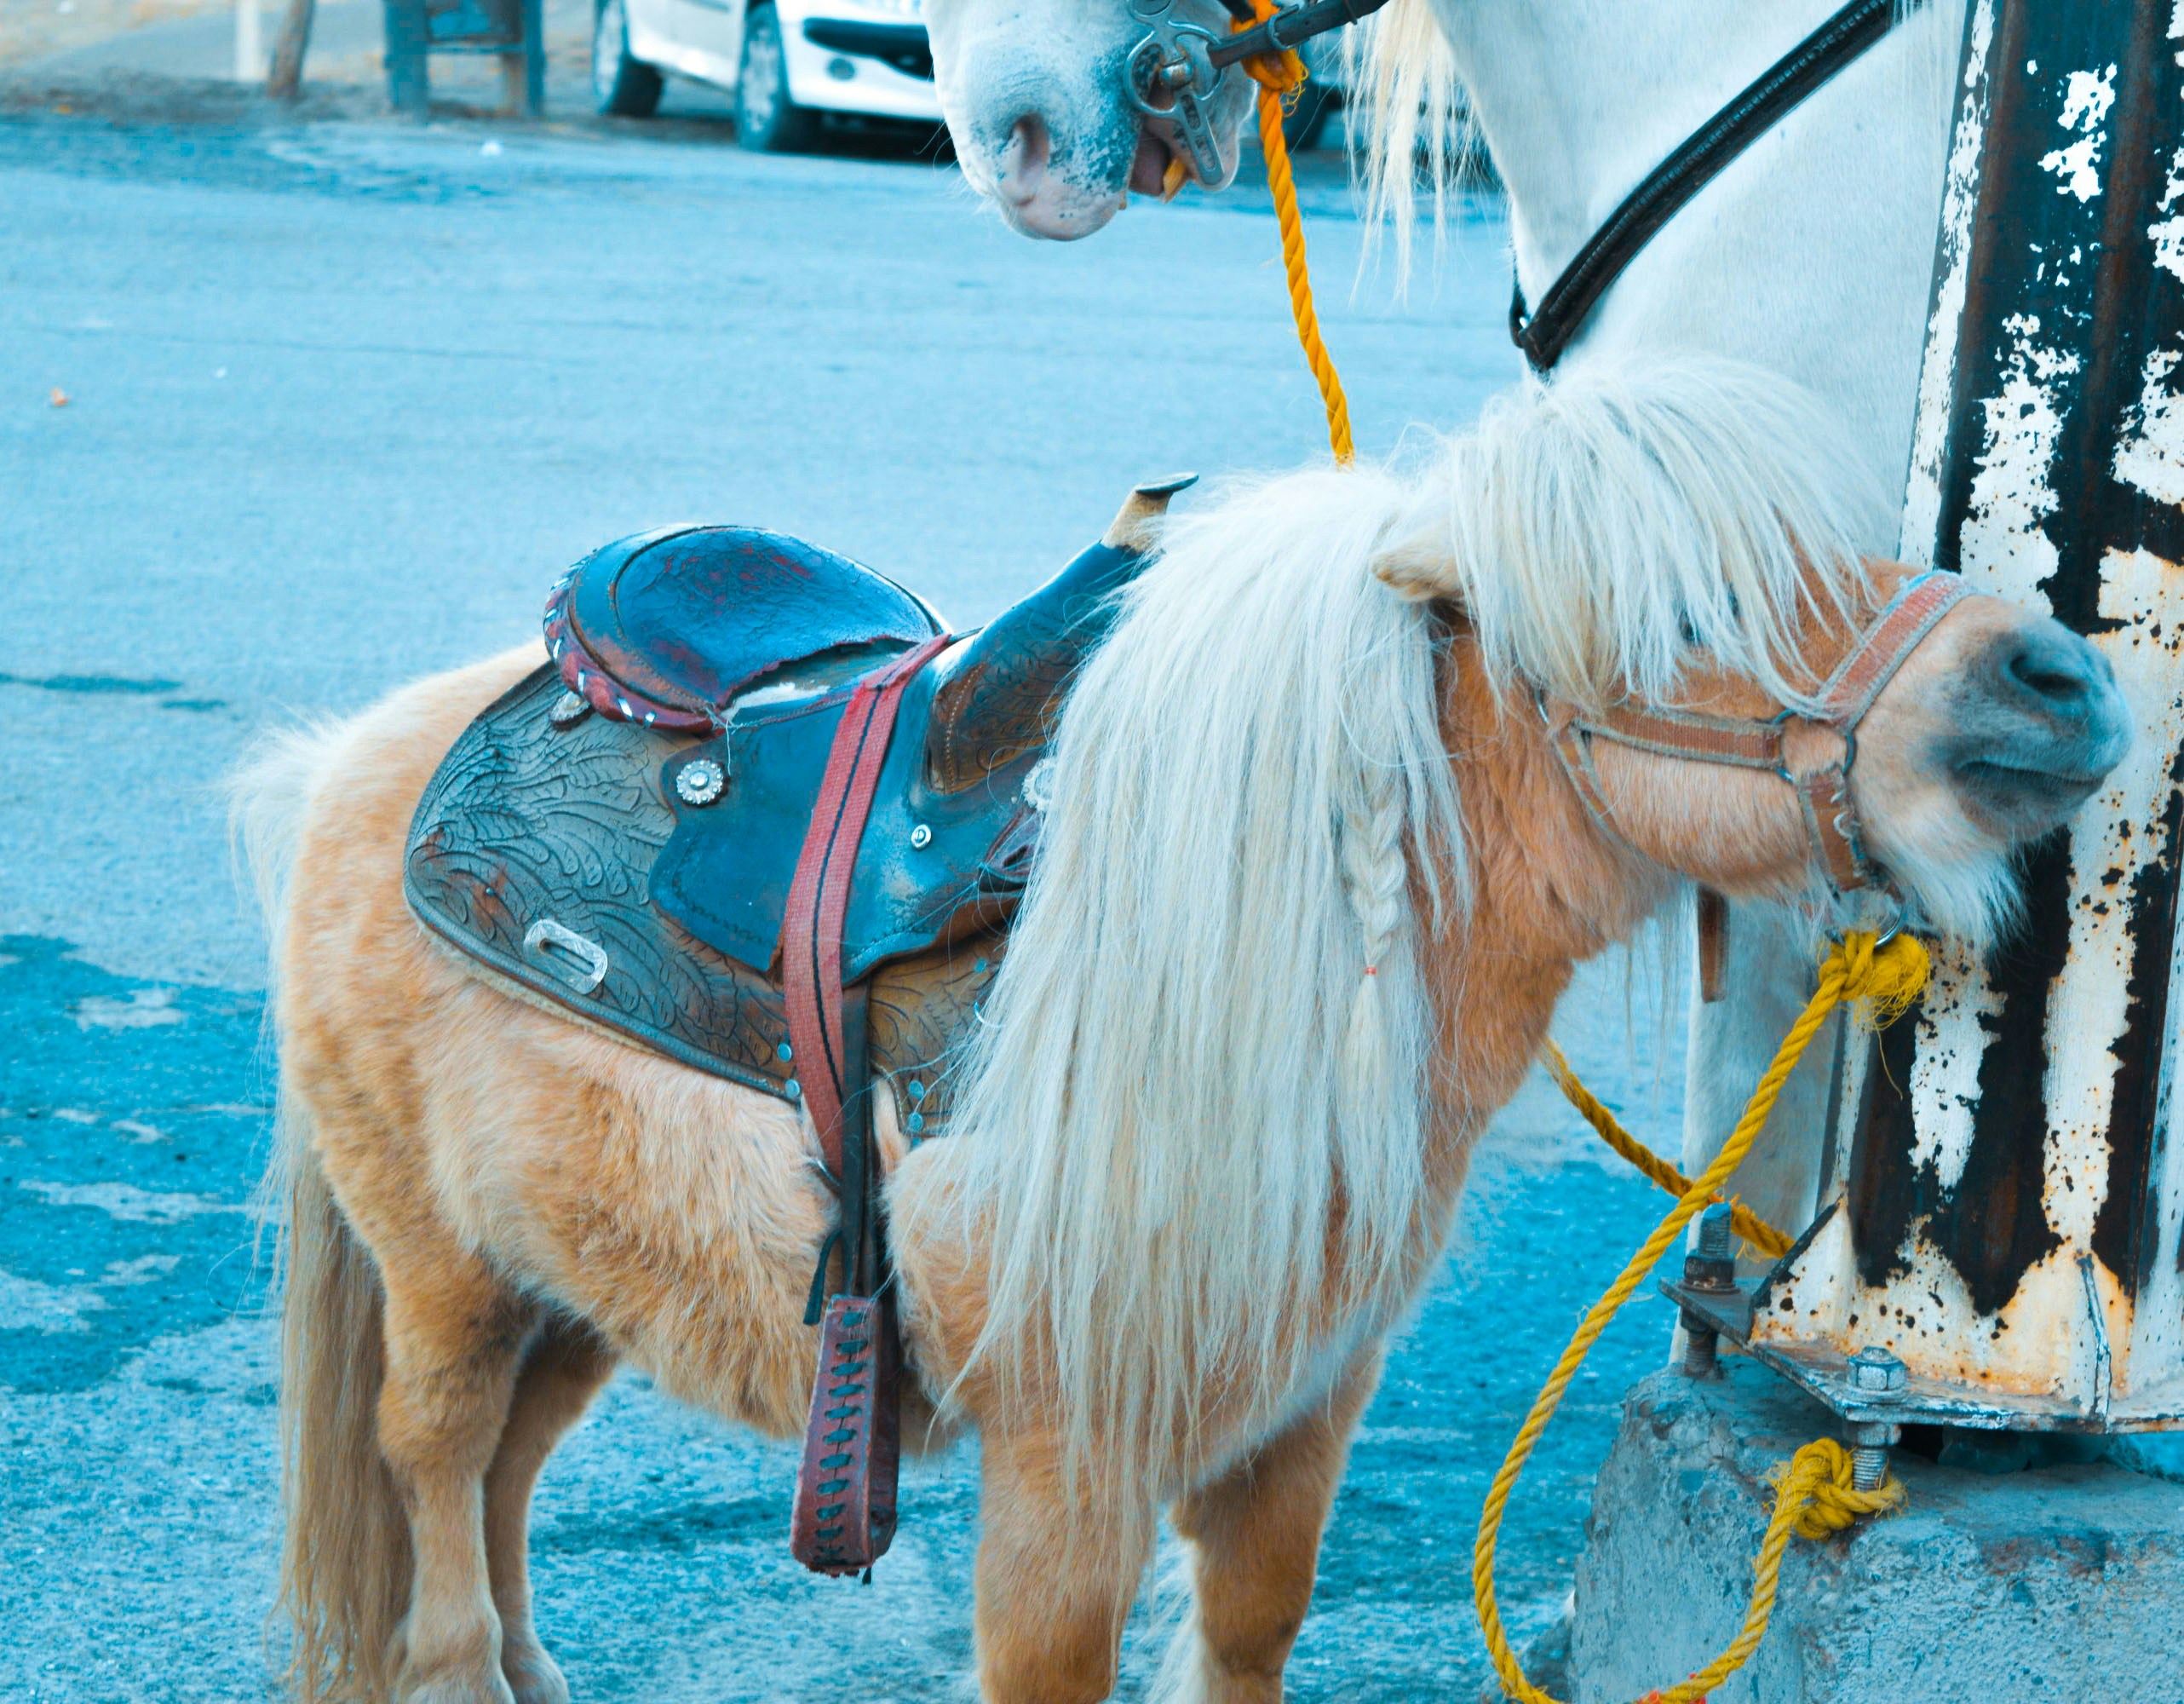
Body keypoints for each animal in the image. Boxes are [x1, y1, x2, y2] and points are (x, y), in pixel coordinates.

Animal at [248, 362, 2123, 1704]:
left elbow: (1247, 1639)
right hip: (442, 1272)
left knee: (504, 1476)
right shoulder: (1067, 1463)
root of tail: (358, 757)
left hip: (566, 1282)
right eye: (1676, 614)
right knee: (433, 1466)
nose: (2060, 682)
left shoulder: (1294, 1419)